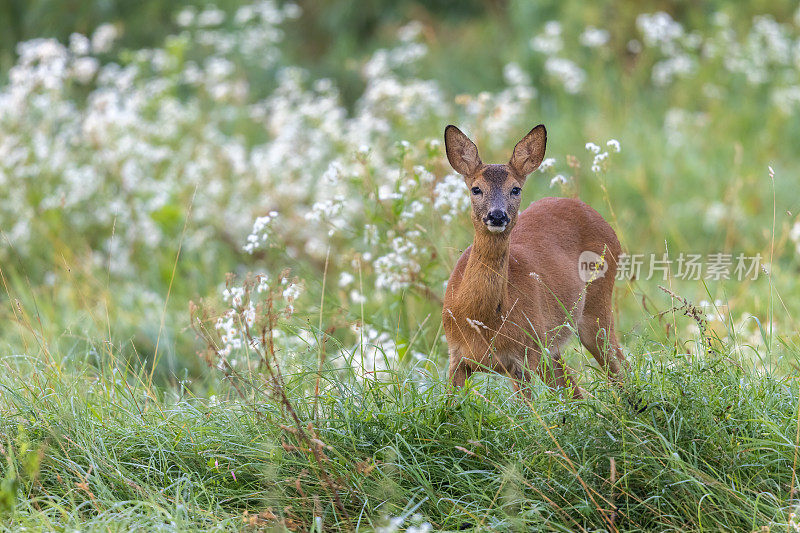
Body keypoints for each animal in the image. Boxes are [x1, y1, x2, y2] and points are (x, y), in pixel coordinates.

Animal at [440, 125, 628, 400]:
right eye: (476, 188)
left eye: (515, 189)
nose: (497, 215)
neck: (482, 320)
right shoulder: (456, 357)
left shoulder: (523, 356)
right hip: (551, 347)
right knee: (573, 390)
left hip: (595, 308)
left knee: (619, 366)